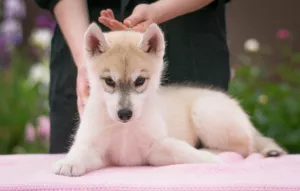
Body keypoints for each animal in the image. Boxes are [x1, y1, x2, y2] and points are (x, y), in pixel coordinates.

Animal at [52, 23, 286, 177]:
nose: (125, 114)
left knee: (245, 146)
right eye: (109, 81)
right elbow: (80, 151)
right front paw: (69, 162)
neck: (125, 130)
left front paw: (214, 161)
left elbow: (186, 152)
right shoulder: (96, 149)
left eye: (140, 81)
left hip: (205, 111)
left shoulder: (159, 145)